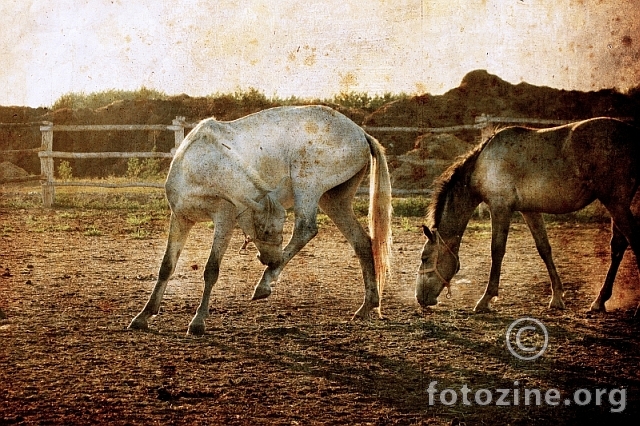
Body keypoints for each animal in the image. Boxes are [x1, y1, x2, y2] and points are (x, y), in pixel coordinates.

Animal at [128, 105, 392, 335]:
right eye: (263, 230)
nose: (273, 260)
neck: (200, 166)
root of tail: (360, 133)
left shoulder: (224, 219)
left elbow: (211, 270)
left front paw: (198, 322)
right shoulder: (180, 218)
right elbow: (166, 266)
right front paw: (143, 316)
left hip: (307, 186)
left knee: (306, 229)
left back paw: (264, 284)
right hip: (334, 201)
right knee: (362, 242)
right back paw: (366, 306)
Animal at [416, 117, 640, 312]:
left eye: (425, 258)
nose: (420, 297)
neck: (483, 163)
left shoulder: (500, 209)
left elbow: (497, 251)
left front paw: (486, 299)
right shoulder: (529, 211)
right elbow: (544, 249)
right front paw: (557, 297)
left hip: (615, 203)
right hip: (617, 205)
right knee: (618, 247)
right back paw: (599, 301)